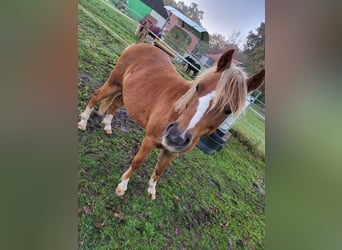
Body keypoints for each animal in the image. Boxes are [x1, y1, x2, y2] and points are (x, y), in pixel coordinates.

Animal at [78, 43, 264, 199]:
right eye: (199, 87)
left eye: (228, 110)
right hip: (114, 83)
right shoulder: (149, 140)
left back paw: (108, 125)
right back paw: (83, 123)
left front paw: (151, 190)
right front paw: (122, 186)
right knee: (96, 95)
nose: (175, 136)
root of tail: (139, 45)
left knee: (115, 104)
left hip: (127, 93)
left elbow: (159, 170)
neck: (176, 110)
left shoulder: (172, 152)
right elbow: (137, 162)